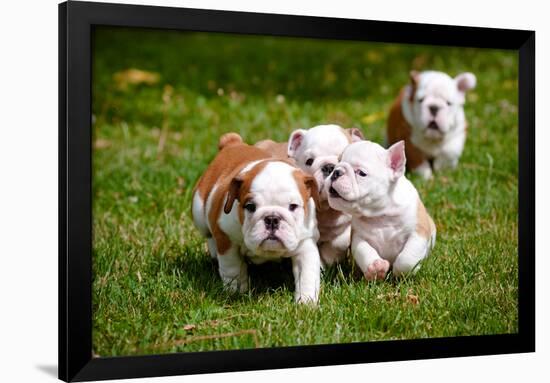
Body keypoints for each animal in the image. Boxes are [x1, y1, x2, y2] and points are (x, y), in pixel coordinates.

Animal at [194, 134, 324, 304]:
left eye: (293, 206)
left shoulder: (305, 244)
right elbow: (232, 268)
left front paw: (306, 301)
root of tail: (232, 143)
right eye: (250, 206)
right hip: (198, 211)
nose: (272, 219)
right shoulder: (226, 238)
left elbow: (307, 275)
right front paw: (236, 290)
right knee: (208, 234)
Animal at [326, 141, 438, 282]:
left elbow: (407, 258)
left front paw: (402, 272)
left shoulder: (418, 232)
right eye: (336, 165)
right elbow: (364, 251)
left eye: (361, 173)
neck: (381, 213)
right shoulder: (359, 237)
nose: (336, 172)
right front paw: (375, 268)